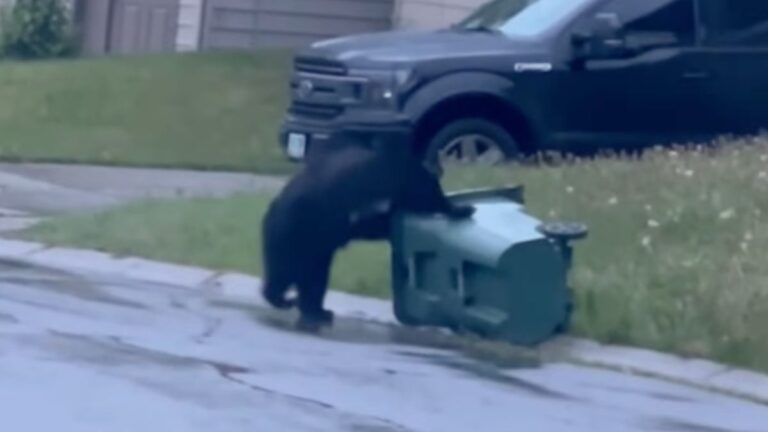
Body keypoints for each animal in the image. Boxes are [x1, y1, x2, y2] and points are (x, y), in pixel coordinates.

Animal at [261, 128, 473, 331]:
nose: (439, 167)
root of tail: (272, 208)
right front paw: (461, 209)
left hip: (312, 244)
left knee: (313, 276)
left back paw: (316, 311)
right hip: (293, 231)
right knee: (287, 267)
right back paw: (286, 300)